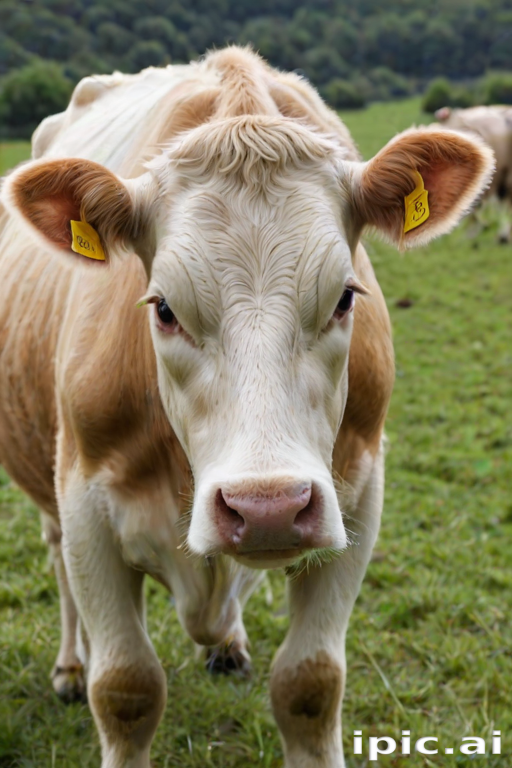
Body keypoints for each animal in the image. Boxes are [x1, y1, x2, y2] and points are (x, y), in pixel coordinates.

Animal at [0, 47, 493, 768]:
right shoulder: (85, 499)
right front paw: (95, 675)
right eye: (163, 308)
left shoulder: (360, 495)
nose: (268, 508)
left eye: (346, 296)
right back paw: (69, 665)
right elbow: (124, 688)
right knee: (58, 559)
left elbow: (311, 683)